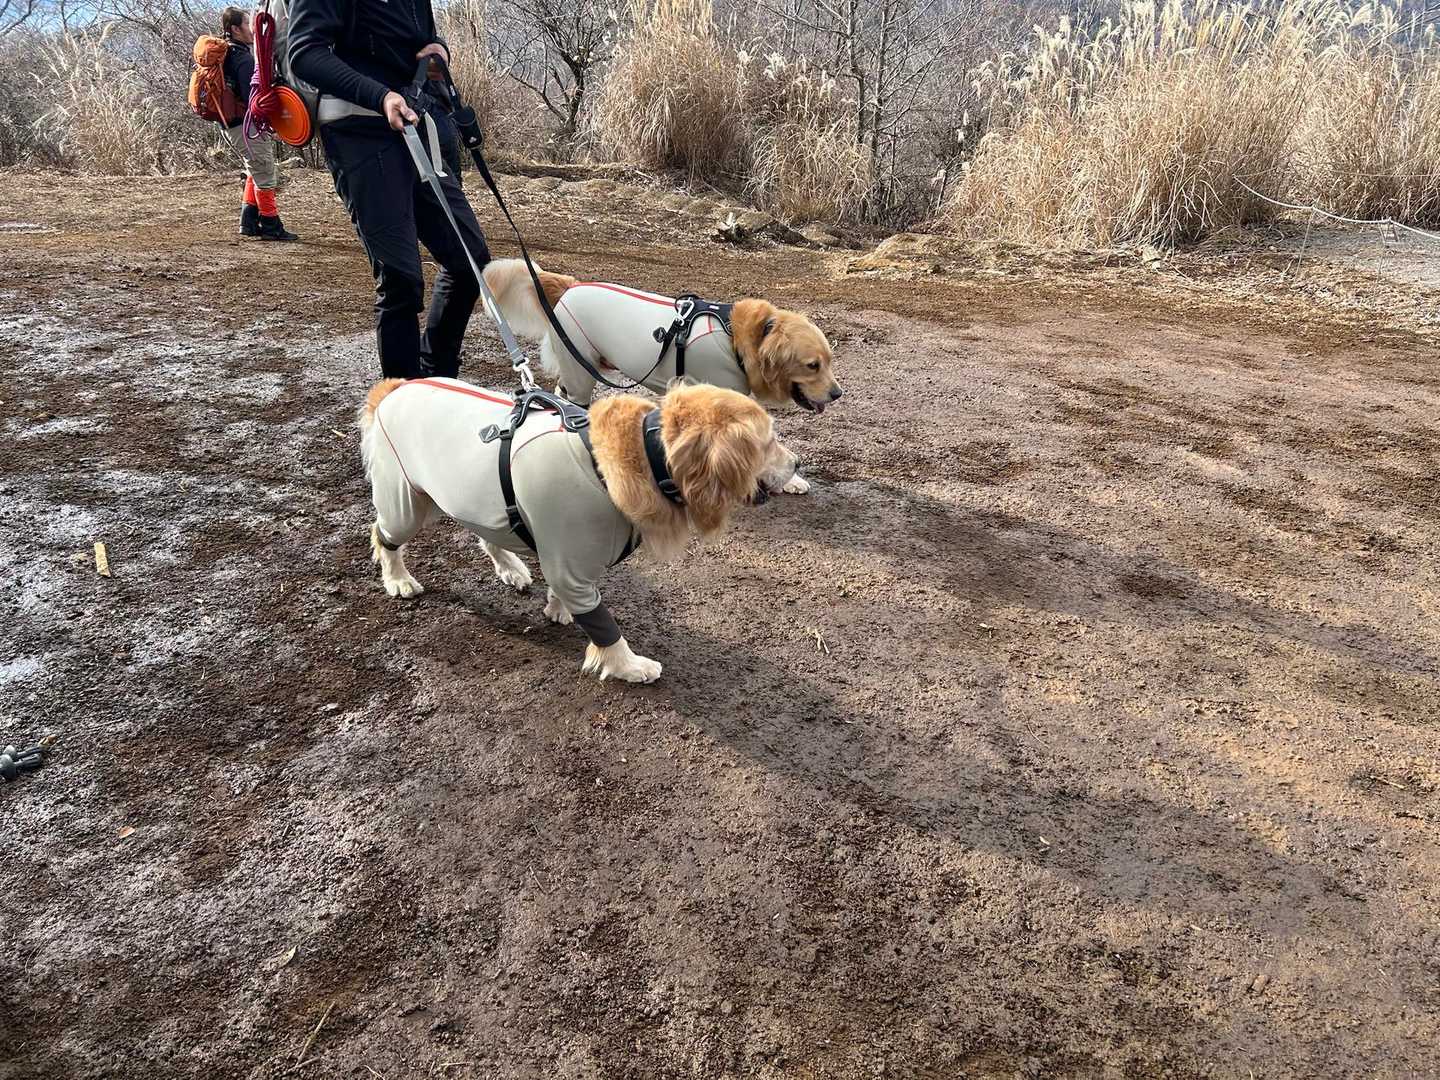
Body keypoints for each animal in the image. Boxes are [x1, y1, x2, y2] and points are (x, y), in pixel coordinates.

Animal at [359, 377, 797, 683]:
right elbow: (606, 628)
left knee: (485, 533)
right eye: (768, 442)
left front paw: (559, 609)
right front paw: (629, 665)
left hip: (470, 497)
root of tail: (394, 387)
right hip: (406, 503)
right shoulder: (570, 562)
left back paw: (511, 569)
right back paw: (398, 579)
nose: (797, 464)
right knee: (384, 535)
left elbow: (566, 591)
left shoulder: (564, 554)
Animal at [480, 258, 842, 494]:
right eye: (813, 365)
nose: (838, 394)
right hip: (580, 373)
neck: (736, 341)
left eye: (829, 361)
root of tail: (570, 285)